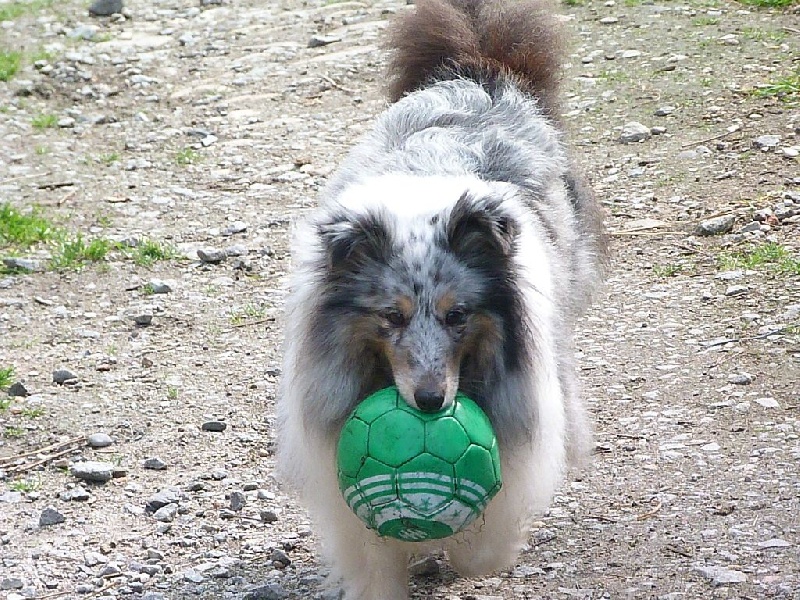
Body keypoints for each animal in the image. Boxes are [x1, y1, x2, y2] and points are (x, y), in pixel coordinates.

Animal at [276, 2, 608, 596]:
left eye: (458, 316)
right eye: (391, 316)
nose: (431, 402)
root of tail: (479, 68)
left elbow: (486, 535)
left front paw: (472, 555)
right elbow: (374, 555)